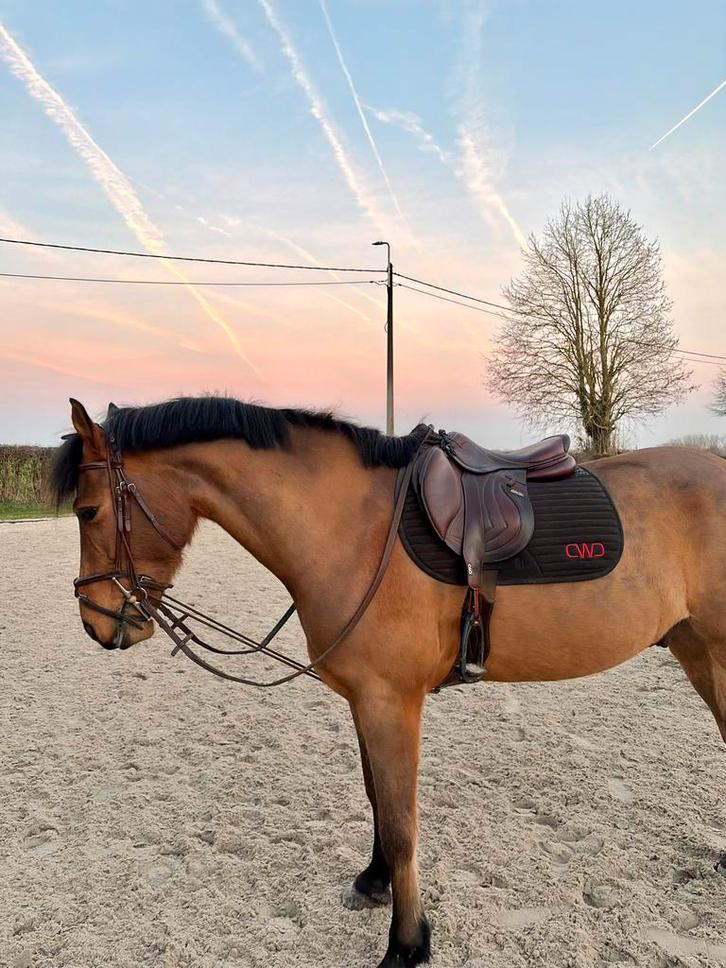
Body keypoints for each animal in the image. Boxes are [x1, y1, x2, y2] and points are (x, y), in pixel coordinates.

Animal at [52, 395, 726, 968]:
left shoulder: (390, 702)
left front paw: (407, 943)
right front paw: (374, 881)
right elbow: (377, 798)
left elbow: (403, 825)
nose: (95, 622)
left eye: (88, 511)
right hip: (695, 649)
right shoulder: (364, 701)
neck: (352, 528)